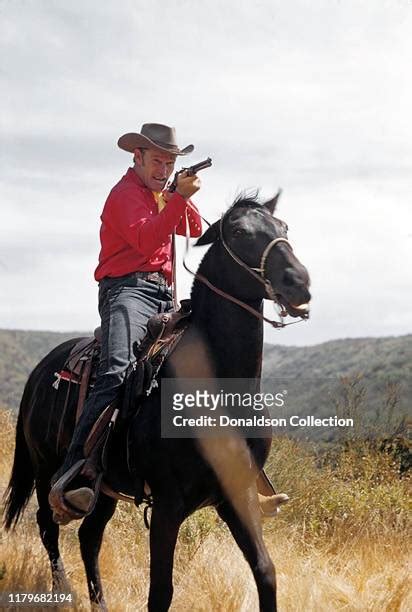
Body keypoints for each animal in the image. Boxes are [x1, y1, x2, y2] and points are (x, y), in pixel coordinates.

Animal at [4, 192, 310, 612]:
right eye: (239, 232)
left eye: (284, 228)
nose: (299, 283)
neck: (223, 392)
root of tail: (40, 370)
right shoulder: (168, 505)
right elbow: (160, 592)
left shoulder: (238, 495)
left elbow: (266, 573)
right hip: (44, 466)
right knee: (48, 526)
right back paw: (62, 591)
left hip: (104, 489)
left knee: (89, 536)